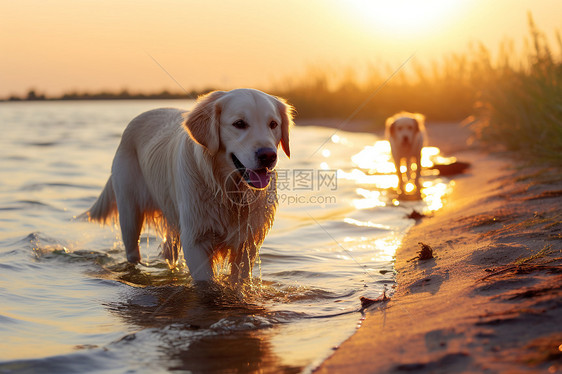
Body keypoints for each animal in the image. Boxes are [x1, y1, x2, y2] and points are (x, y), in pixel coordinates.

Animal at [85, 89, 294, 282]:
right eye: (239, 124)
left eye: (273, 124)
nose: (268, 155)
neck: (227, 190)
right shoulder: (196, 239)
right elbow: (206, 284)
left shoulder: (248, 239)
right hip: (130, 213)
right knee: (132, 249)